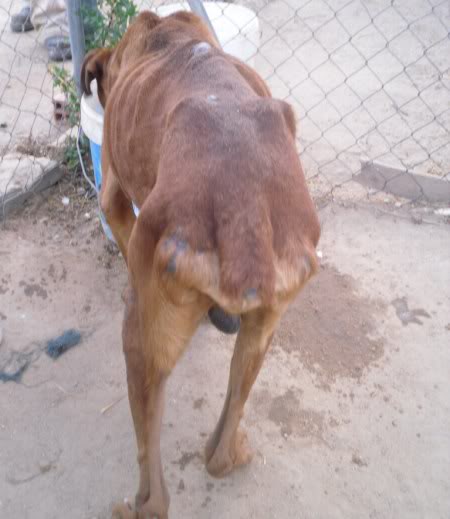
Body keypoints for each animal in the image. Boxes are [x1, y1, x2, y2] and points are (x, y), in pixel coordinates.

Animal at [81, 9, 320, 519]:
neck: (162, 29)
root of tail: (244, 214)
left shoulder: (112, 195)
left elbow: (123, 232)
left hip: (142, 346)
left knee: (155, 493)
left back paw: (135, 506)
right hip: (264, 331)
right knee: (218, 451)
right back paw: (232, 451)